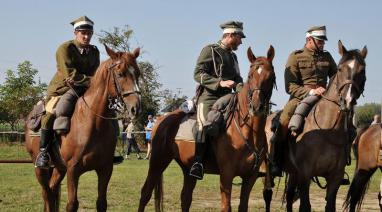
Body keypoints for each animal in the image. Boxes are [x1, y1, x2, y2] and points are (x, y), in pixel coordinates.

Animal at [25, 45, 142, 212]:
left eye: (137, 73)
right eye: (120, 74)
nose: (135, 108)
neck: (93, 122)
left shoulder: (105, 169)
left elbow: (101, 203)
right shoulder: (73, 170)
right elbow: (72, 204)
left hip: (59, 168)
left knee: (52, 190)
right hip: (41, 169)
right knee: (46, 193)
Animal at [139, 45, 276, 211]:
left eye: (271, 76)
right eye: (250, 76)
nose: (256, 106)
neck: (250, 132)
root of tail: (161, 119)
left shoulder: (251, 177)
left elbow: (243, 206)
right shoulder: (226, 174)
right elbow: (226, 207)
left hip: (187, 168)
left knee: (185, 198)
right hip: (158, 162)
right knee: (145, 193)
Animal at [266, 40, 368, 212]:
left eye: (362, 70)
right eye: (340, 69)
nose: (347, 101)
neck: (328, 131)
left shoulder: (335, 177)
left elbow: (330, 206)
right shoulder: (305, 174)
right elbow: (305, 206)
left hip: (293, 173)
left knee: (289, 196)